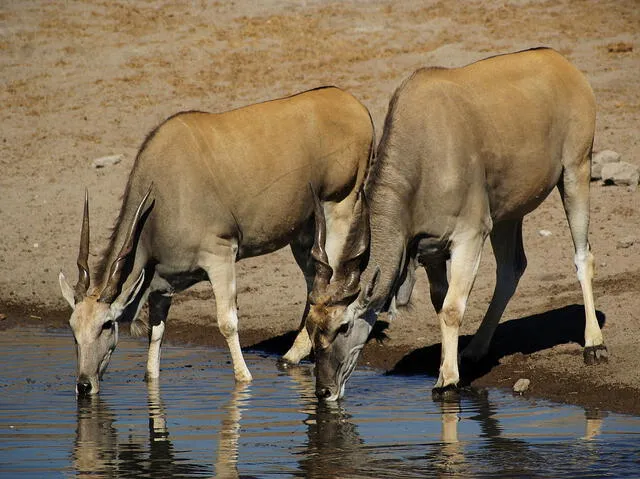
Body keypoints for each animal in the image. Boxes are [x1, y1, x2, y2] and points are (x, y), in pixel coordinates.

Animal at [58, 87, 376, 398]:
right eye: (73, 329)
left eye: (107, 324)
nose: (83, 385)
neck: (162, 193)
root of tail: (355, 105)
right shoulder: (162, 282)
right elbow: (156, 333)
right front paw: (151, 378)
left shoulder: (221, 256)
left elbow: (227, 323)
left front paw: (244, 378)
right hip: (305, 229)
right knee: (313, 280)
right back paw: (292, 355)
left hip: (338, 207)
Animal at [304, 47, 604, 402]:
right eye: (312, 327)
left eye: (344, 326)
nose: (324, 391)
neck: (424, 153)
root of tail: (560, 61)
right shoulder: (432, 250)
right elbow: (441, 304)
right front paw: (449, 365)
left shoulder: (469, 236)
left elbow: (451, 309)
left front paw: (447, 380)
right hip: (507, 214)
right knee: (511, 269)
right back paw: (474, 350)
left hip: (575, 171)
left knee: (582, 256)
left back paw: (594, 344)